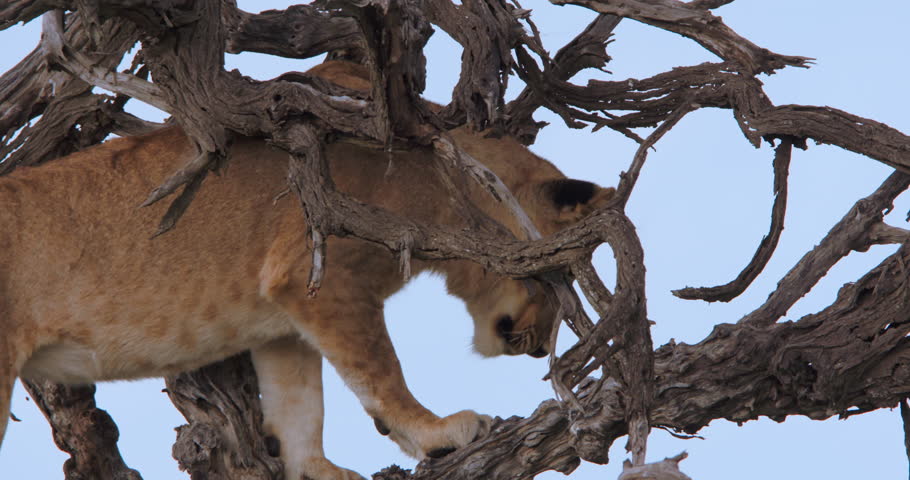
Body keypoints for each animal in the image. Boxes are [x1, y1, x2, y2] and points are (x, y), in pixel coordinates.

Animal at [0, 61, 613, 480]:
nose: (539, 350)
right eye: (562, 278)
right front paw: (435, 431)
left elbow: (299, 404)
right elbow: (380, 371)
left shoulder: (282, 317)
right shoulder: (323, 277)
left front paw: (315, 469)